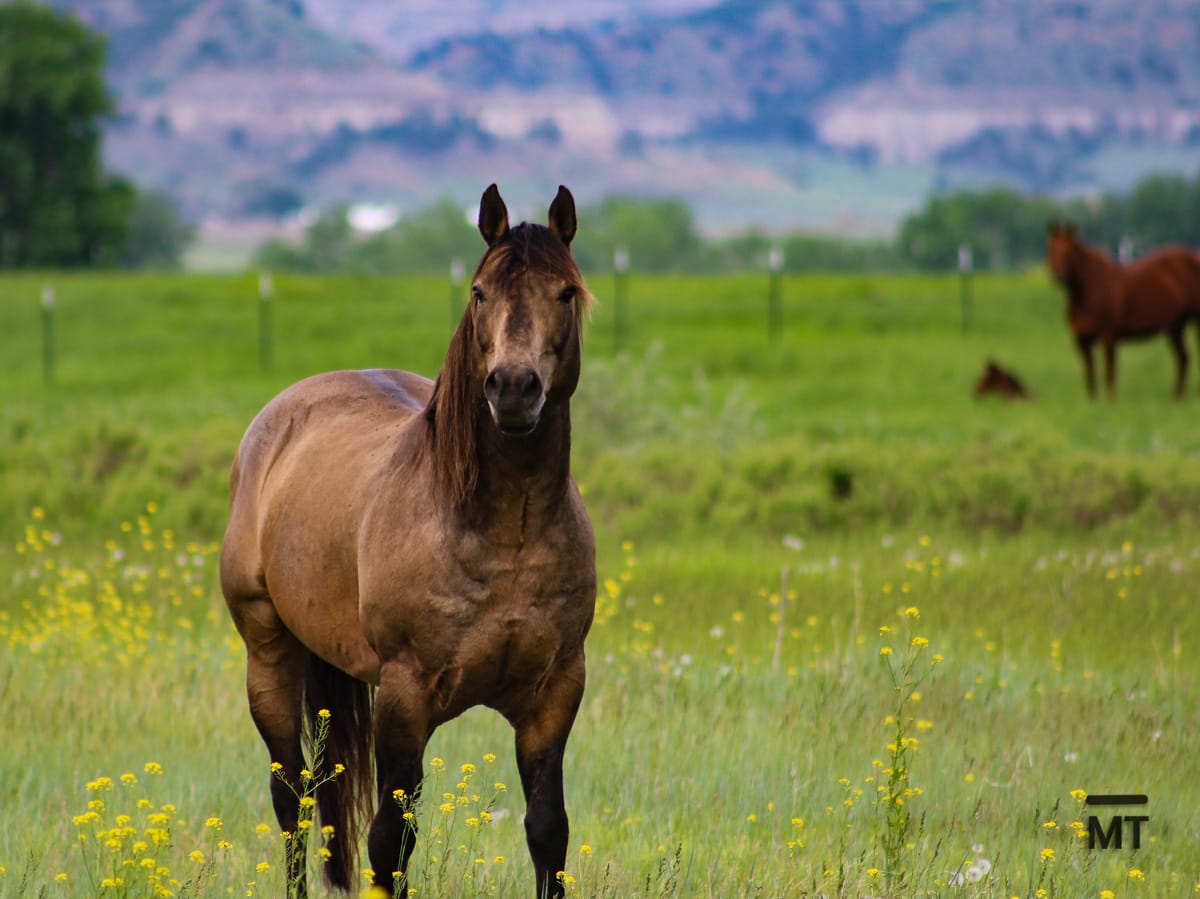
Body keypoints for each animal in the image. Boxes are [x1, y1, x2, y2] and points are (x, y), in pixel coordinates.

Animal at [220, 184, 596, 899]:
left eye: (565, 292)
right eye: (479, 292)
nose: (513, 388)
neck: (505, 535)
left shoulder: (554, 696)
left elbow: (548, 834)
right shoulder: (405, 699)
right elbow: (390, 843)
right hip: (268, 654)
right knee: (291, 801)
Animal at [1045, 221, 1200, 399]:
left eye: (1068, 252)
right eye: (1050, 249)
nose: (1058, 276)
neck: (1089, 291)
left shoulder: (1108, 336)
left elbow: (1109, 373)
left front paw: (1110, 402)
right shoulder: (1082, 340)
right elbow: (1090, 375)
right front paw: (1093, 402)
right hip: (1175, 327)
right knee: (1183, 358)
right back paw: (1176, 396)